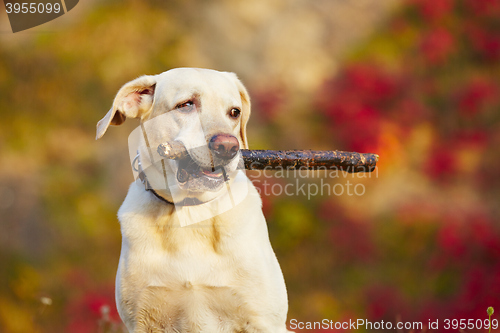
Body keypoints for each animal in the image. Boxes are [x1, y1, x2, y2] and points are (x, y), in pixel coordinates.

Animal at [95, 68, 292, 332]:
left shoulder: (265, 320)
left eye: (235, 112)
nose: (228, 146)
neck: (190, 209)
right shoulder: (142, 320)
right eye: (186, 104)